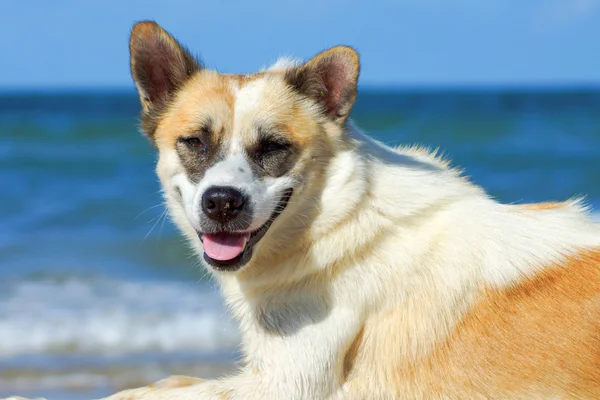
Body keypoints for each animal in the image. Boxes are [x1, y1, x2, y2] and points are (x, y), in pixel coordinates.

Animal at [86, 21, 600, 400]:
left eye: (274, 147)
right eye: (194, 142)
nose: (221, 203)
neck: (334, 219)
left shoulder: (286, 384)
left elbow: (141, 392)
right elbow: (162, 382)